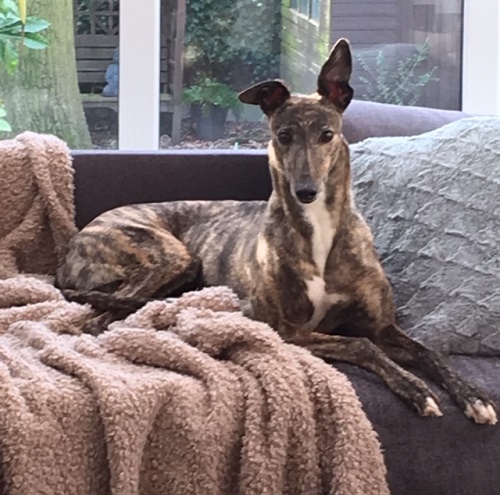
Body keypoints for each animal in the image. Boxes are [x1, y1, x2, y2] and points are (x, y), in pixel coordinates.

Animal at [57, 38, 496, 426]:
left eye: (327, 134)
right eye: (283, 136)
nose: (306, 192)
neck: (319, 232)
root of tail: (73, 247)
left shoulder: (383, 326)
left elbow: (428, 352)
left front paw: (473, 395)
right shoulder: (287, 330)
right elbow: (362, 344)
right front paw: (416, 388)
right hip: (171, 256)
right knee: (98, 316)